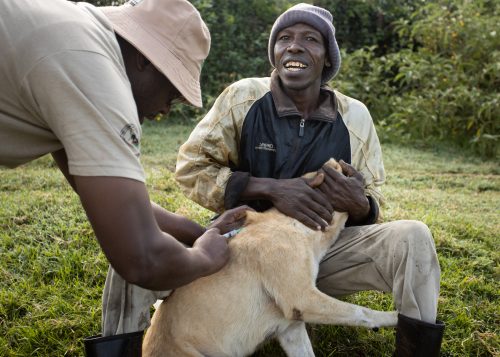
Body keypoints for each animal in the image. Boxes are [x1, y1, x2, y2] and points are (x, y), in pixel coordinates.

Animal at [143, 159, 396, 356]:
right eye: (344, 173)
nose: (361, 171)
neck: (295, 224)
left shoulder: (290, 328)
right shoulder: (303, 298)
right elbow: (363, 313)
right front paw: (395, 317)